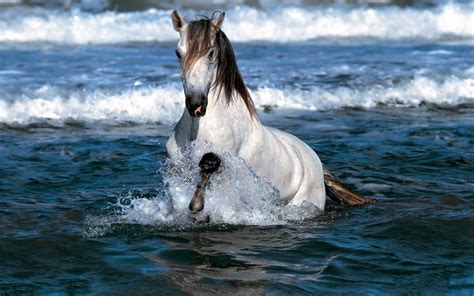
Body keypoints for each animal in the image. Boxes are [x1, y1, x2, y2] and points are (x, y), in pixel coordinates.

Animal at [167, 11, 370, 215]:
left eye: (210, 52)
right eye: (178, 53)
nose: (196, 104)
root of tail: (317, 163)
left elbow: (209, 163)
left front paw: (196, 205)